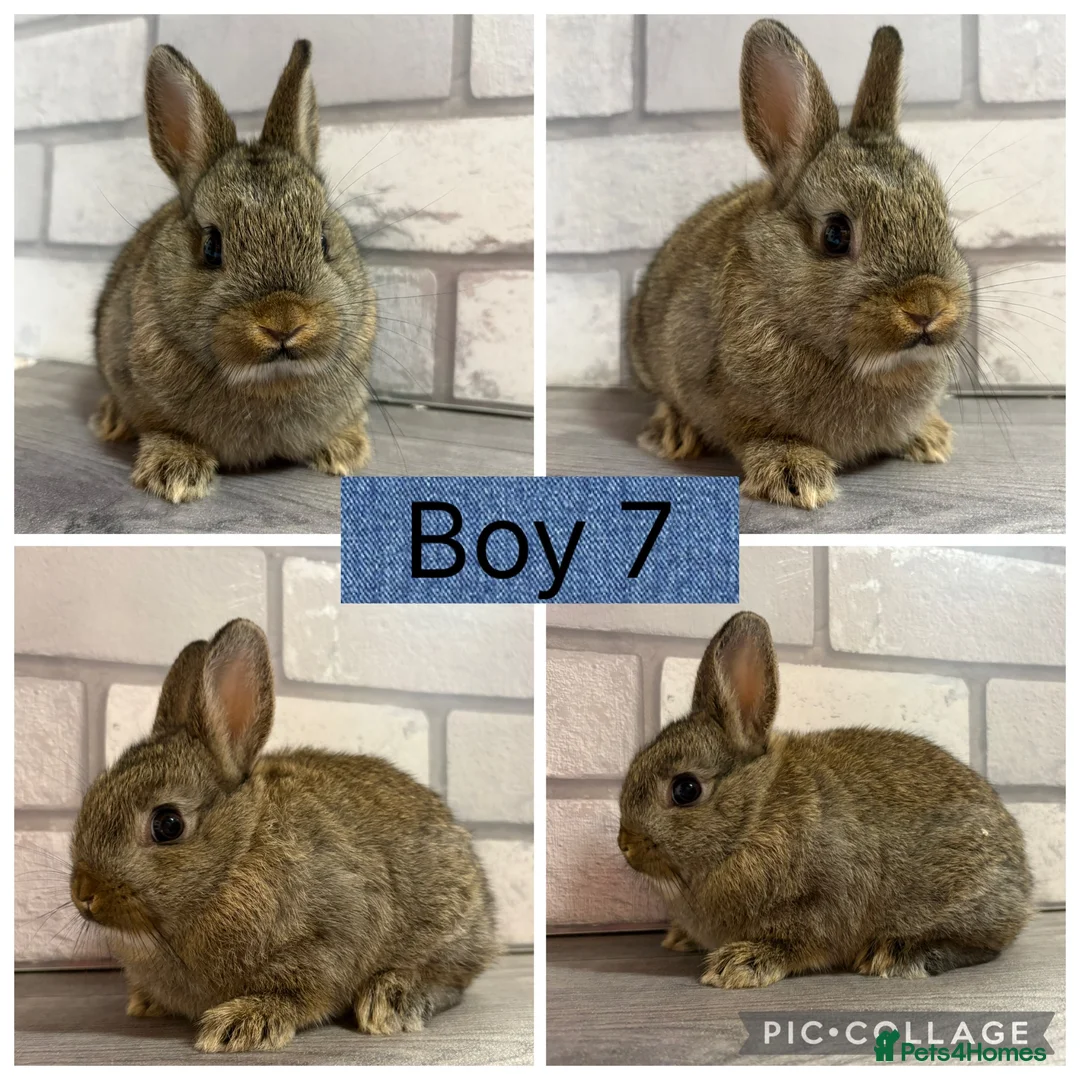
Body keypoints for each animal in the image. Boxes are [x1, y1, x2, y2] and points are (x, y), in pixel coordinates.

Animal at [69, 619, 498, 1052]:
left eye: (167, 824)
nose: (84, 894)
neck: (239, 853)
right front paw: (148, 1001)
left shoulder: (329, 938)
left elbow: (303, 992)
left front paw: (242, 1023)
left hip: (447, 931)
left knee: (449, 980)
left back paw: (391, 1000)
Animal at [92, 40, 378, 503]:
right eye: (212, 246)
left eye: (324, 240)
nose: (283, 323)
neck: (269, 381)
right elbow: (163, 429)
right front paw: (176, 475)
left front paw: (347, 450)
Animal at [618, 611, 1032, 989]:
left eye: (685, 789)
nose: (625, 844)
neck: (756, 816)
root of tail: (1023, 878)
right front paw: (681, 938)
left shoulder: (821, 902)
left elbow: (799, 941)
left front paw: (739, 964)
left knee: (982, 946)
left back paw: (897, 955)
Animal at [629, 20, 971, 509]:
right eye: (836, 234)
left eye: (945, 218)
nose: (927, 307)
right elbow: (759, 435)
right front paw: (794, 472)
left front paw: (930, 437)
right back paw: (673, 434)